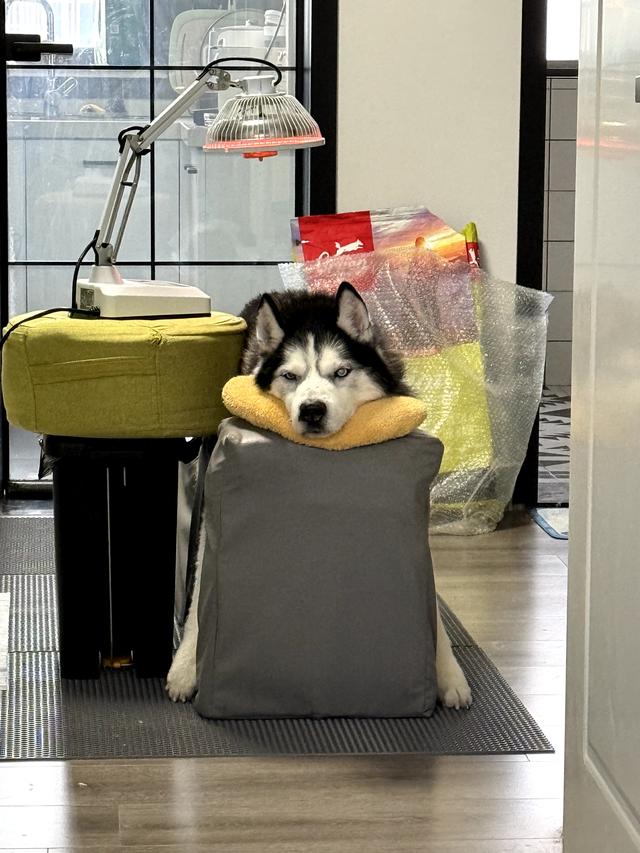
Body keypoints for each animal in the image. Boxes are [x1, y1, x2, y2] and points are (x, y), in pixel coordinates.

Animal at [166, 282, 472, 710]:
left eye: (341, 372)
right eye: (290, 376)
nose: (312, 410)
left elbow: (434, 608)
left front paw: (449, 674)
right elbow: (199, 593)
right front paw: (183, 668)